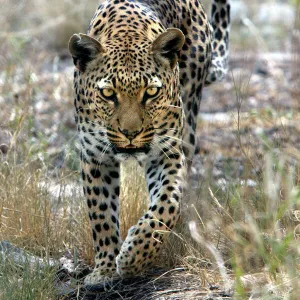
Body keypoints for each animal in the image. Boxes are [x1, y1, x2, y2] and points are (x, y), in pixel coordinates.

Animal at [68, 0, 230, 284]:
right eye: (108, 94)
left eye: (151, 92)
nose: (130, 132)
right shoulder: (94, 156)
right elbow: (101, 213)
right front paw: (105, 269)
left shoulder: (168, 152)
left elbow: (167, 204)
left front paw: (134, 257)